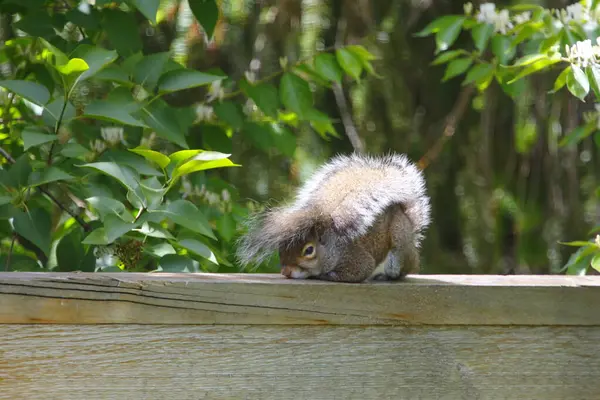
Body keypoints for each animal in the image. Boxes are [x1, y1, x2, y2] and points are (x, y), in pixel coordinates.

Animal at [234, 152, 432, 282]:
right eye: (281, 249)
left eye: (309, 251)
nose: (286, 272)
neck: (332, 247)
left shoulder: (356, 258)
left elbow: (360, 270)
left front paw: (326, 275)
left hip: (399, 247)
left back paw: (385, 276)